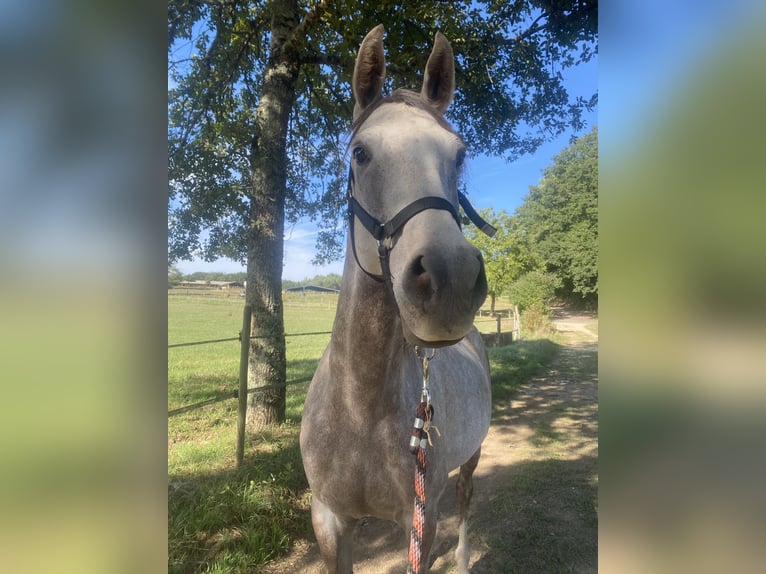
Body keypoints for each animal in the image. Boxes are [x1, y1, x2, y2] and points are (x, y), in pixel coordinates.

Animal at [300, 25, 492, 573]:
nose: (450, 279)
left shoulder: (419, 521)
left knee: (467, 501)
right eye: (360, 153)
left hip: (469, 461)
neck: (360, 410)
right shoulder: (328, 520)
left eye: (459, 154)